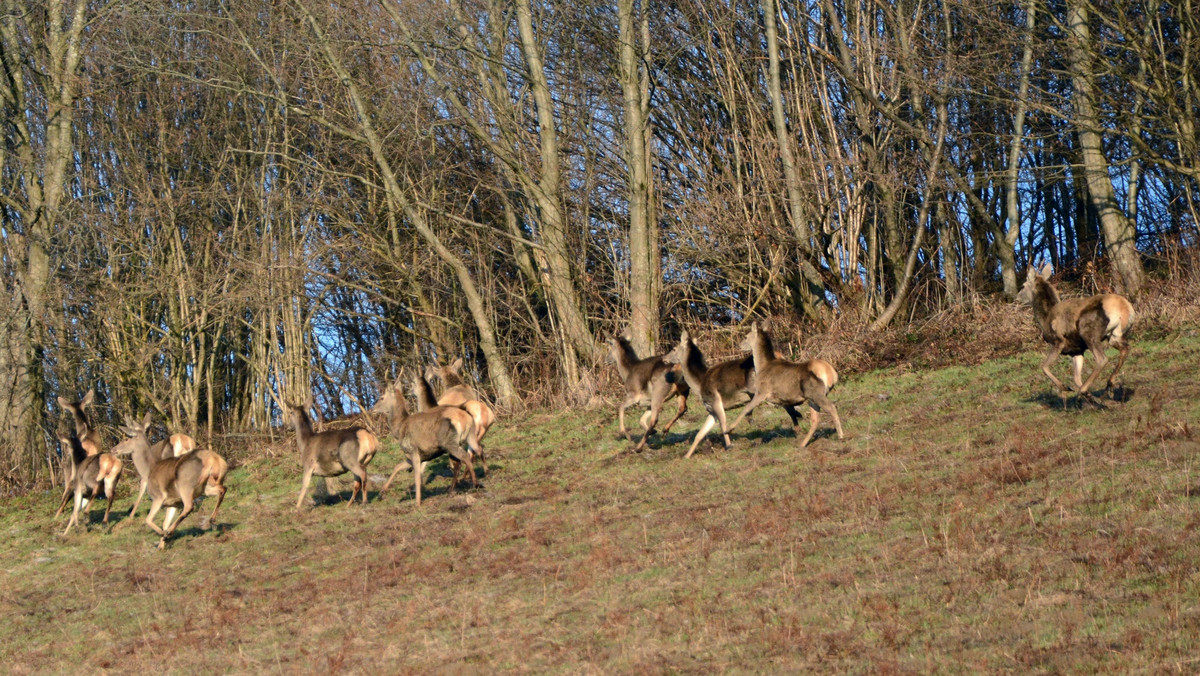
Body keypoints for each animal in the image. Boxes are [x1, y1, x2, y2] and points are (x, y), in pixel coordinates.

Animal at [117, 413, 229, 549]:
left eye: (127, 438)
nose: (113, 449)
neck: (148, 470)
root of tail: (213, 460)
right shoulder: (173, 502)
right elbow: (164, 522)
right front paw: (161, 546)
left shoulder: (158, 497)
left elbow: (148, 519)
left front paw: (163, 535)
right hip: (207, 486)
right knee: (223, 489)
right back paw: (212, 521)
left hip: (185, 485)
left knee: (189, 506)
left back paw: (170, 532)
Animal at [376, 374, 484, 509]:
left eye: (381, 397)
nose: (373, 409)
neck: (399, 428)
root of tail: (465, 418)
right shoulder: (415, 456)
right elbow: (397, 467)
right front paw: (381, 492)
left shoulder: (413, 451)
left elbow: (417, 477)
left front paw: (417, 502)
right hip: (469, 436)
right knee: (477, 449)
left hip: (449, 442)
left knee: (465, 457)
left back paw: (475, 483)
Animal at [662, 331, 753, 461]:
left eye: (674, 348)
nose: (663, 358)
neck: (700, 383)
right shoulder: (710, 409)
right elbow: (700, 433)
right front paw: (686, 456)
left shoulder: (716, 401)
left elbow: (723, 425)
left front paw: (729, 446)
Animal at [1012, 261, 1132, 405]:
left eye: (1023, 285)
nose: (1015, 298)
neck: (1045, 317)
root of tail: (1124, 308)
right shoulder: (1076, 350)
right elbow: (1076, 377)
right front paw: (1090, 397)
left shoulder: (1059, 341)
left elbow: (1044, 366)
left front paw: (1065, 387)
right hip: (1115, 336)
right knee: (1125, 349)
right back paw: (1108, 387)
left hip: (1089, 332)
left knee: (1102, 359)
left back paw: (1087, 390)